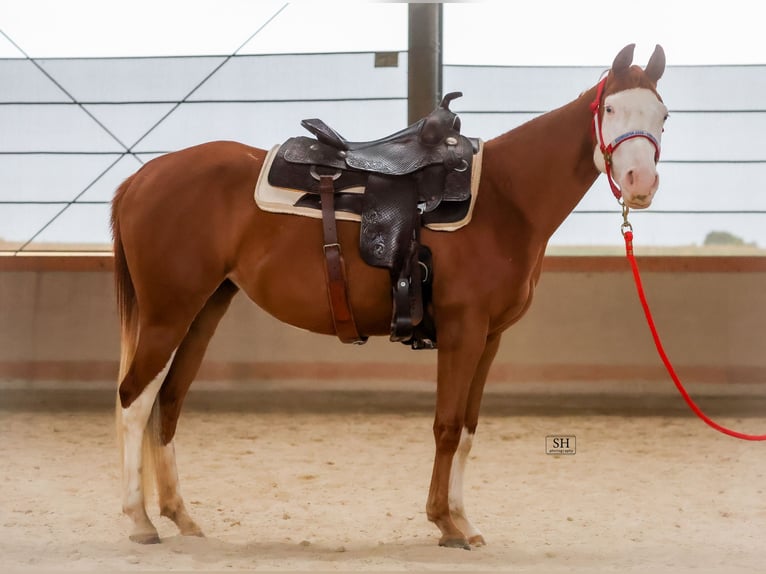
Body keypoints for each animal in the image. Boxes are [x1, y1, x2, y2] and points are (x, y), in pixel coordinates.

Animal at [111, 43, 667, 549]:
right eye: (611, 109)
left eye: (661, 114)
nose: (640, 182)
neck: (505, 199)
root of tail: (141, 178)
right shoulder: (463, 330)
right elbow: (447, 425)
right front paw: (445, 524)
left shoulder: (489, 338)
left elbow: (468, 430)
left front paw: (463, 521)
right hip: (168, 313)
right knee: (134, 400)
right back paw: (139, 522)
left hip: (204, 310)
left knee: (169, 402)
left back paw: (181, 516)